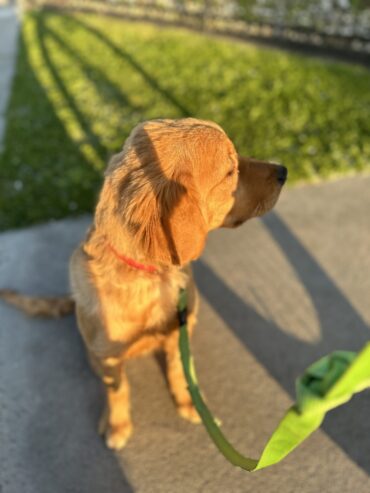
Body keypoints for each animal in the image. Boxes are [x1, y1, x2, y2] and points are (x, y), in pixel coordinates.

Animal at [0, 119, 286, 450]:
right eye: (231, 171)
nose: (284, 170)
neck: (149, 276)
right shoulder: (108, 357)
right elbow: (118, 389)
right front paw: (118, 425)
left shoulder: (180, 330)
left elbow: (178, 370)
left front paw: (188, 404)